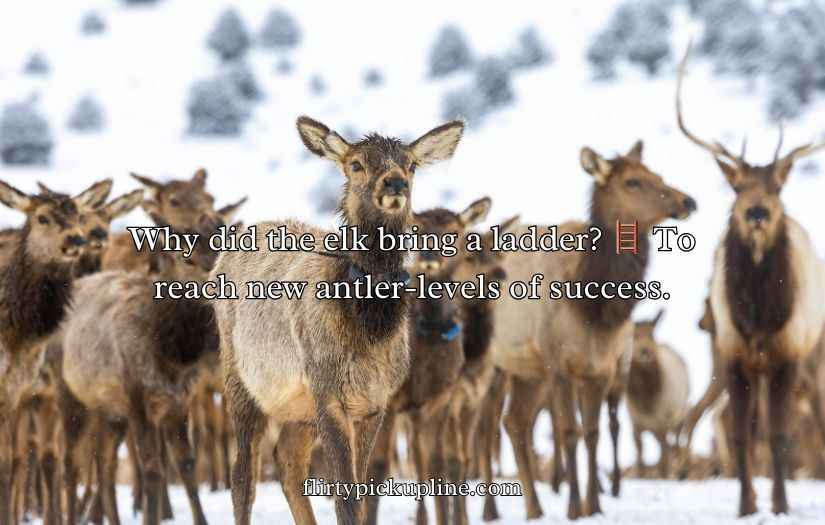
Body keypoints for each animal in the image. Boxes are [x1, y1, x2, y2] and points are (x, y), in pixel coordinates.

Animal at [211, 116, 464, 525]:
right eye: (356, 164)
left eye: (411, 164)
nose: (395, 182)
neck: (370, 329)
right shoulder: (328, 392)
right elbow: (345, 498)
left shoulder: (375, 403)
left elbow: (362, 492)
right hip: (241, 381)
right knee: (243, 475)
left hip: (297, 406)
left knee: (288, 463)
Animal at [626, 310, 690, 479]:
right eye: (634, 335)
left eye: (651, 334)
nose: (645, 351)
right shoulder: (635, 423)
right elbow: (640, 455)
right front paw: (640, 475)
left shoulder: (662, 422)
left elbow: (663, 457)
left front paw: (664, 474)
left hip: (680, 410)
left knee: (678, 433)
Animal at [676, 44, 825, 516]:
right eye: (737, 187)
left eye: (776, 188)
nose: (757, 212)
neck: (759, 315)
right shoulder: (734, 354)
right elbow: (743, 433)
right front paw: (746, 504)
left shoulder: (787, 356)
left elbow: (779, 433)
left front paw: (780, 504)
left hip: (812, 361)